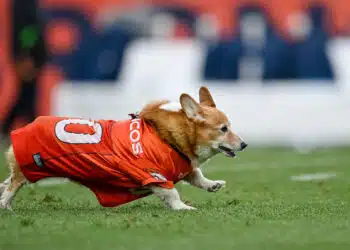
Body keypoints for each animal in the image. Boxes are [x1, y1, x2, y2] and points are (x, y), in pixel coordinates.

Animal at [0, 87, 246, 210]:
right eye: (223, 129)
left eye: (230, 126)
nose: (244, 144)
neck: (169, 137)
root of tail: (23, 128)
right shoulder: (152, 174)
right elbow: (171, 192)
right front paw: (182, 207)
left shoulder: (182, 166)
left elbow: (197, 176)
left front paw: (212, 184)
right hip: (26, 171)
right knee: (11, 187)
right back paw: (5, 207)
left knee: (6, 183)